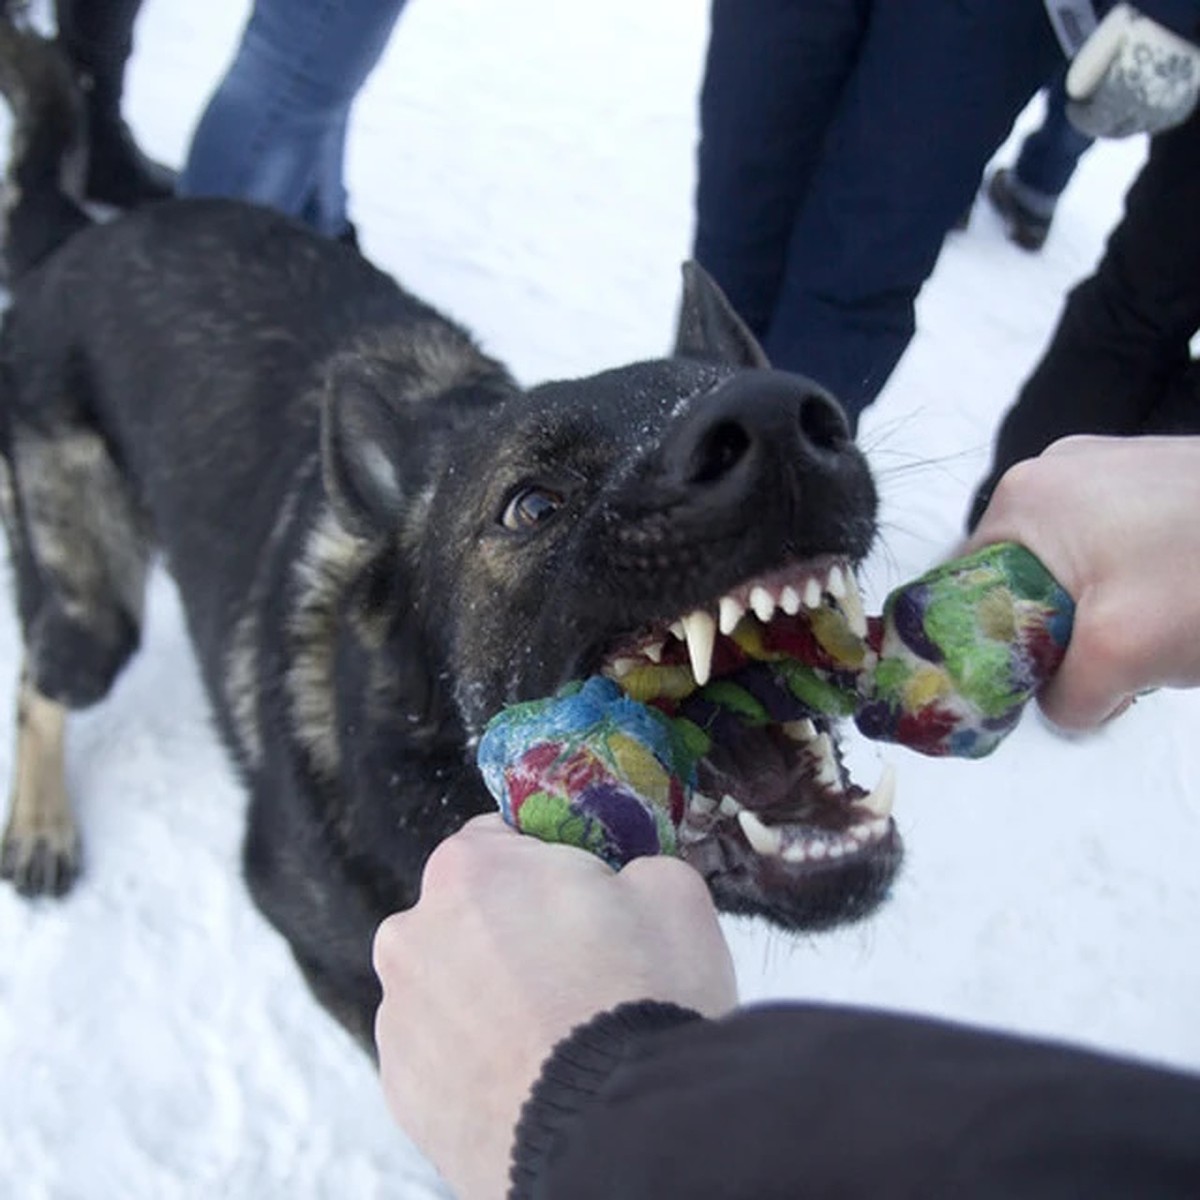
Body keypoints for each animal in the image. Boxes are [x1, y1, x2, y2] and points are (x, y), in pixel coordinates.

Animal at [0, 18, 902, 1051]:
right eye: (532, 506)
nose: (781, 422)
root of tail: (74, 238)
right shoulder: (342, 959)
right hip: (93, 611)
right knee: (40, 680)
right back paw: (41, 824)